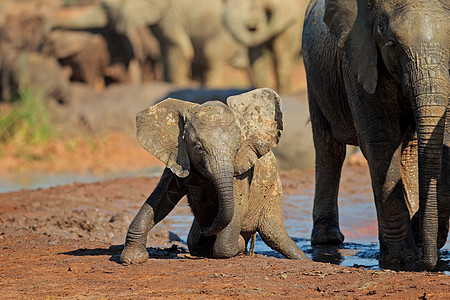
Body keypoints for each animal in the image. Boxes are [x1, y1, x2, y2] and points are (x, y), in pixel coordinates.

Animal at [119, 88, 310, 264]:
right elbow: (161, 198)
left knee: (272, 235)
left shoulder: (242, 169)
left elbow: (236, 205)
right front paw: (132, 259)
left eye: (237, 147)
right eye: (197, 147)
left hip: (271, 199)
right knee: (194, 241)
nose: (207, 228)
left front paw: (232, 244)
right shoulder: (178, 157)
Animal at [300, 0, 448, 270]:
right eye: (391, 44)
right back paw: (327, 241)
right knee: (329, 149)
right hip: (314, 76)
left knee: (408, 151)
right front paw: (401, 260)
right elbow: (380, 142)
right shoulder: (358, 58)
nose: (429, 263)